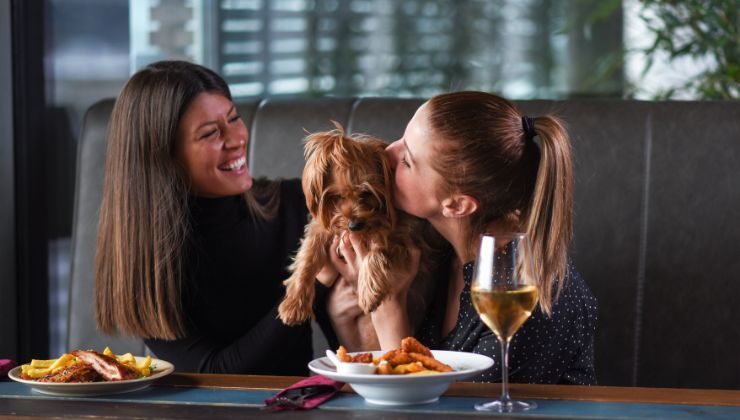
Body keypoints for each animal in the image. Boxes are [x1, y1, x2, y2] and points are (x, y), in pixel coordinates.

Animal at [278, 123, 420, 326]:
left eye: (367, 193)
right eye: (336, 197)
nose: (354, 226)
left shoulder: (403, 241)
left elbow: (378, 251)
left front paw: (368, 292)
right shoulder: (320, 229)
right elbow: (307, 257)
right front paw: (294, 305)